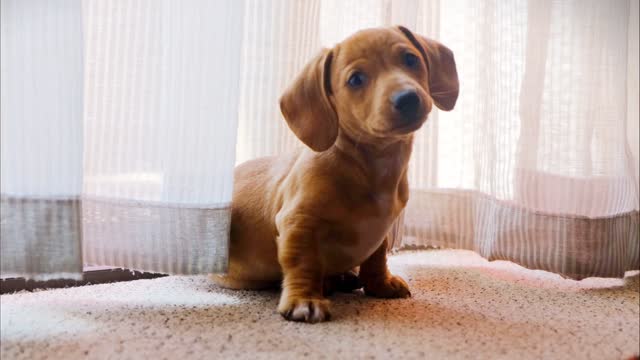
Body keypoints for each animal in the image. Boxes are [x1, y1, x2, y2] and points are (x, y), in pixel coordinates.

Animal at [212, 26, 458, 324]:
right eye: (356, 79)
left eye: (411, 59)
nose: (407, 98)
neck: (371, 165)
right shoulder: (298, 222)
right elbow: (302, 262)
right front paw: (303, 299)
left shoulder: (381, 230)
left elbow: (377, 258)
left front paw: (380, 284)